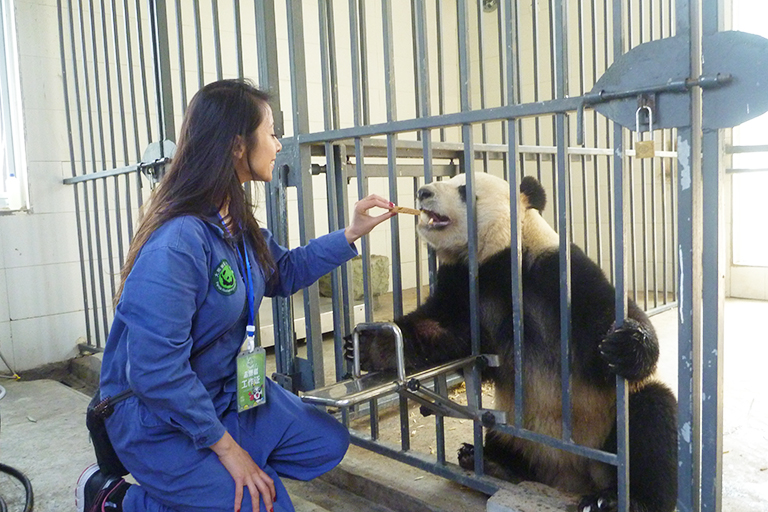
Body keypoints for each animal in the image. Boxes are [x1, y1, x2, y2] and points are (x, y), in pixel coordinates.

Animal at [348, 173, 680, 512]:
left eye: (464, 189)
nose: (423, 192)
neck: (495, 261)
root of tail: (565, 478)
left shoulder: (554, 271)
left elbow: (607, 317)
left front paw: (626, 344)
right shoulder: (464, 287)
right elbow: (442, 330)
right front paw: (368, 346)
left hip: (605, 426)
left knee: (651, 418)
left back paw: (616, 500)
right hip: (515, 429)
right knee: (503, 438)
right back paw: (490, 462)